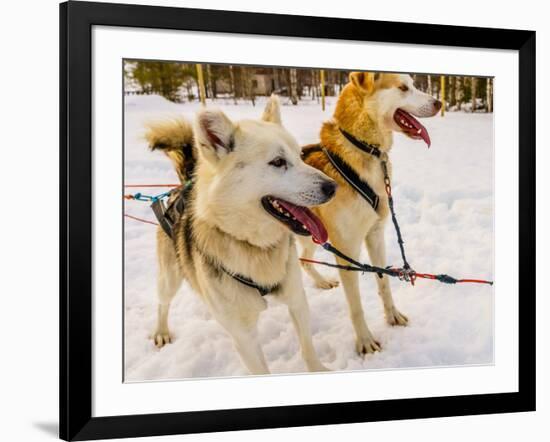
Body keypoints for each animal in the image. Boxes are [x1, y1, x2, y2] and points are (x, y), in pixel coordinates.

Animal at [300, 72, 442, 356]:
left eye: (414, 84)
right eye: (403, 88)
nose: (439, 103)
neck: (364, 148)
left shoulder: (375, 234)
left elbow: (383, 282)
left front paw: (392, 316)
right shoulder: (346, 250)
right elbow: (356, 306)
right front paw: (365, 340)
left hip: (313, 234)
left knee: (303, 260)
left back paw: (321, 282)